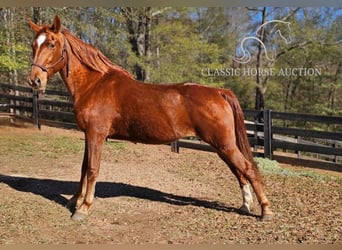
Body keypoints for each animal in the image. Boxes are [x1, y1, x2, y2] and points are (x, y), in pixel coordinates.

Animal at [26, 16, 272, 221]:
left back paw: (266, 211)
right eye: (33, 45)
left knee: (249, 169)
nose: (34, 80)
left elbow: (93, 169)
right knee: (239, 171)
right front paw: (73, 202)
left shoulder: (97, 135)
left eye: (52, 44)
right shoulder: (89, 135)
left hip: (224, 144)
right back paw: (246, 205)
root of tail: (219, 92)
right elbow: (83, 169)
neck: (94, 84)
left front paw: (83, 208)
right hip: (222, 146)